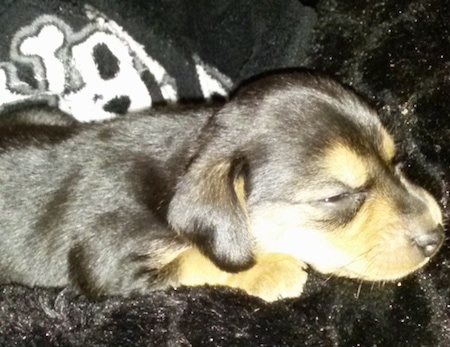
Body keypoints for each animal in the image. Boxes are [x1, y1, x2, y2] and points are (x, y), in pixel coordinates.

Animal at [0, 72, 444, 302]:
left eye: (395, 161)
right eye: (334, 197)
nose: (437, 236)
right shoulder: (107, 263)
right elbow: (198, 259)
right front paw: (272, 268)